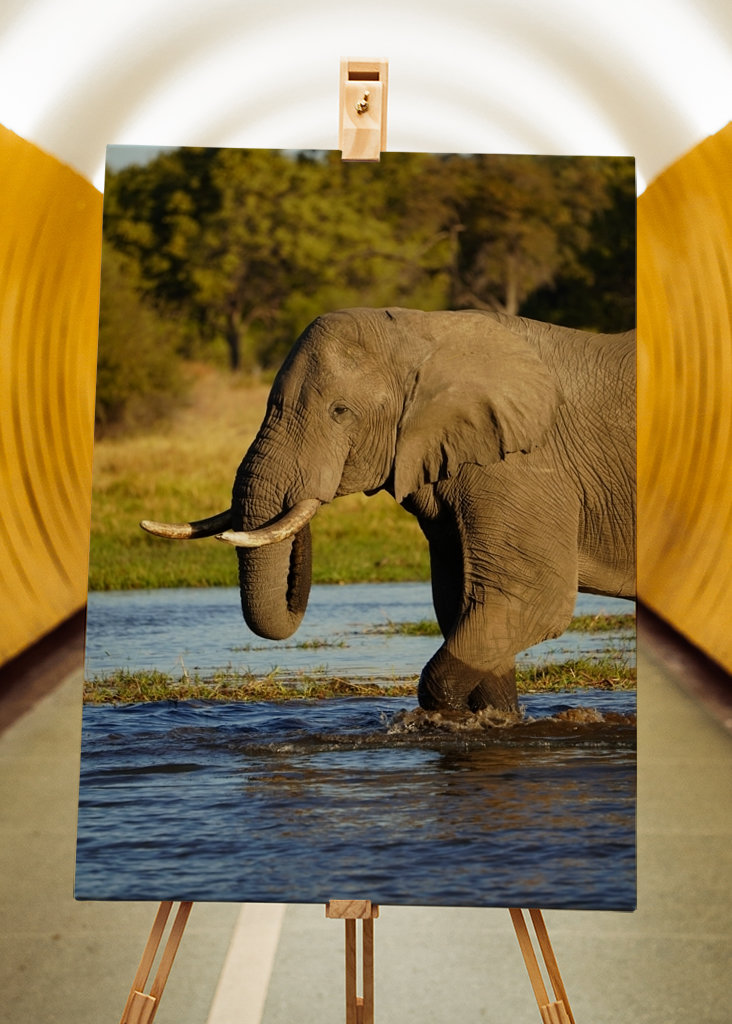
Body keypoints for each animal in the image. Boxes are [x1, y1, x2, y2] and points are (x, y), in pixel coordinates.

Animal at [141, 307, 635, 714]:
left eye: (340, 411)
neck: (425, 333)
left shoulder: (523, 468)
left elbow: (531, 599)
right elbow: (464, 605)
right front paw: (495, 721)